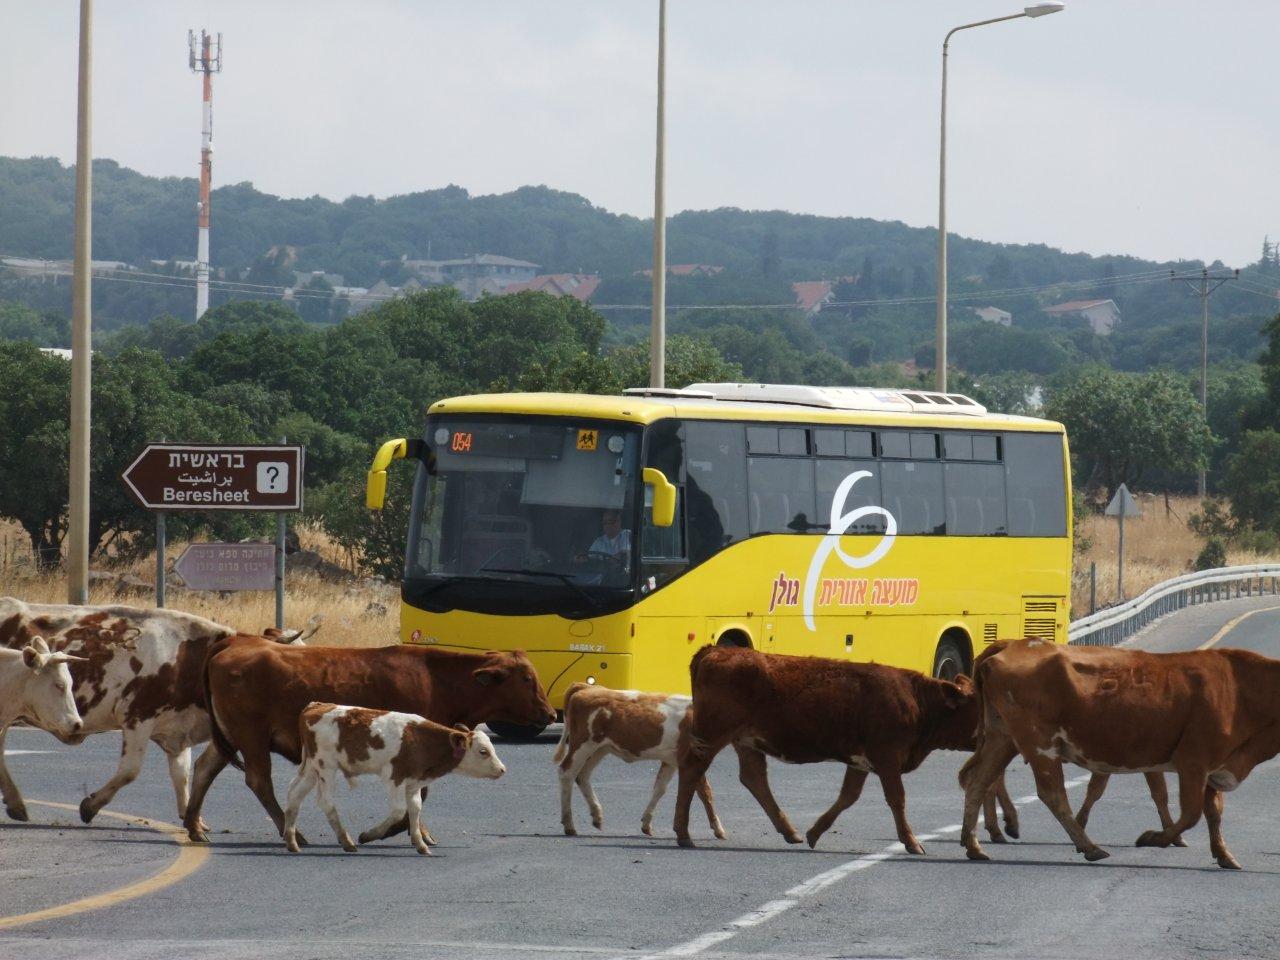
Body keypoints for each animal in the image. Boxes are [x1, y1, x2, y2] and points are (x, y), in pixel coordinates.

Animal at [0, 593, 317, 829]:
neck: (187, 655)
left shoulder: (177, 731)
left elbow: (182, 775)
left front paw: (193, 819)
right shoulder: (137, 717)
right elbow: (129, 771)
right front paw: (90, 806)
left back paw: (15, 803)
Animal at [285, 701, 504, 855]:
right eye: (483, 751)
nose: (502, 769)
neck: (419, 740)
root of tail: (315, 706)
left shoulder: (414, 782)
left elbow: (415, 809)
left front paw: (420, 844)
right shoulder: (395, 777)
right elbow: (399, 811)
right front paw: (368, 835)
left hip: (311, 768)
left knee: (295, 794)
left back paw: (292, 842)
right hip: (326, 766)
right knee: (325, 801)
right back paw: (347, 841)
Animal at [555, 686, 727, 839]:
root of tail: (586, 688)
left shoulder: (671, 760)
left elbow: (660, 788)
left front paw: (646, 823)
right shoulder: (692, 759)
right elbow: (705, 792)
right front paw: (718, 829)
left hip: (600, 749)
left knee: (582, 775)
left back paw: (596, 816)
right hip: (583, 745)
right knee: (566, 773)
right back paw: (569, 824)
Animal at [962, 640, 1280, 870]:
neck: (1240, 689)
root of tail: (1010, 645)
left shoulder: (1216, 767)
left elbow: (1214, 813)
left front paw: (1224, 854)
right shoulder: (1194, 762)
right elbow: (1191, 814)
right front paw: (1155, 838)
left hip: (1002, 738)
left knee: (977, 780)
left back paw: (973, 845)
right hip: (1040, 744)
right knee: (1052, 794)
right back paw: (1090, 847)